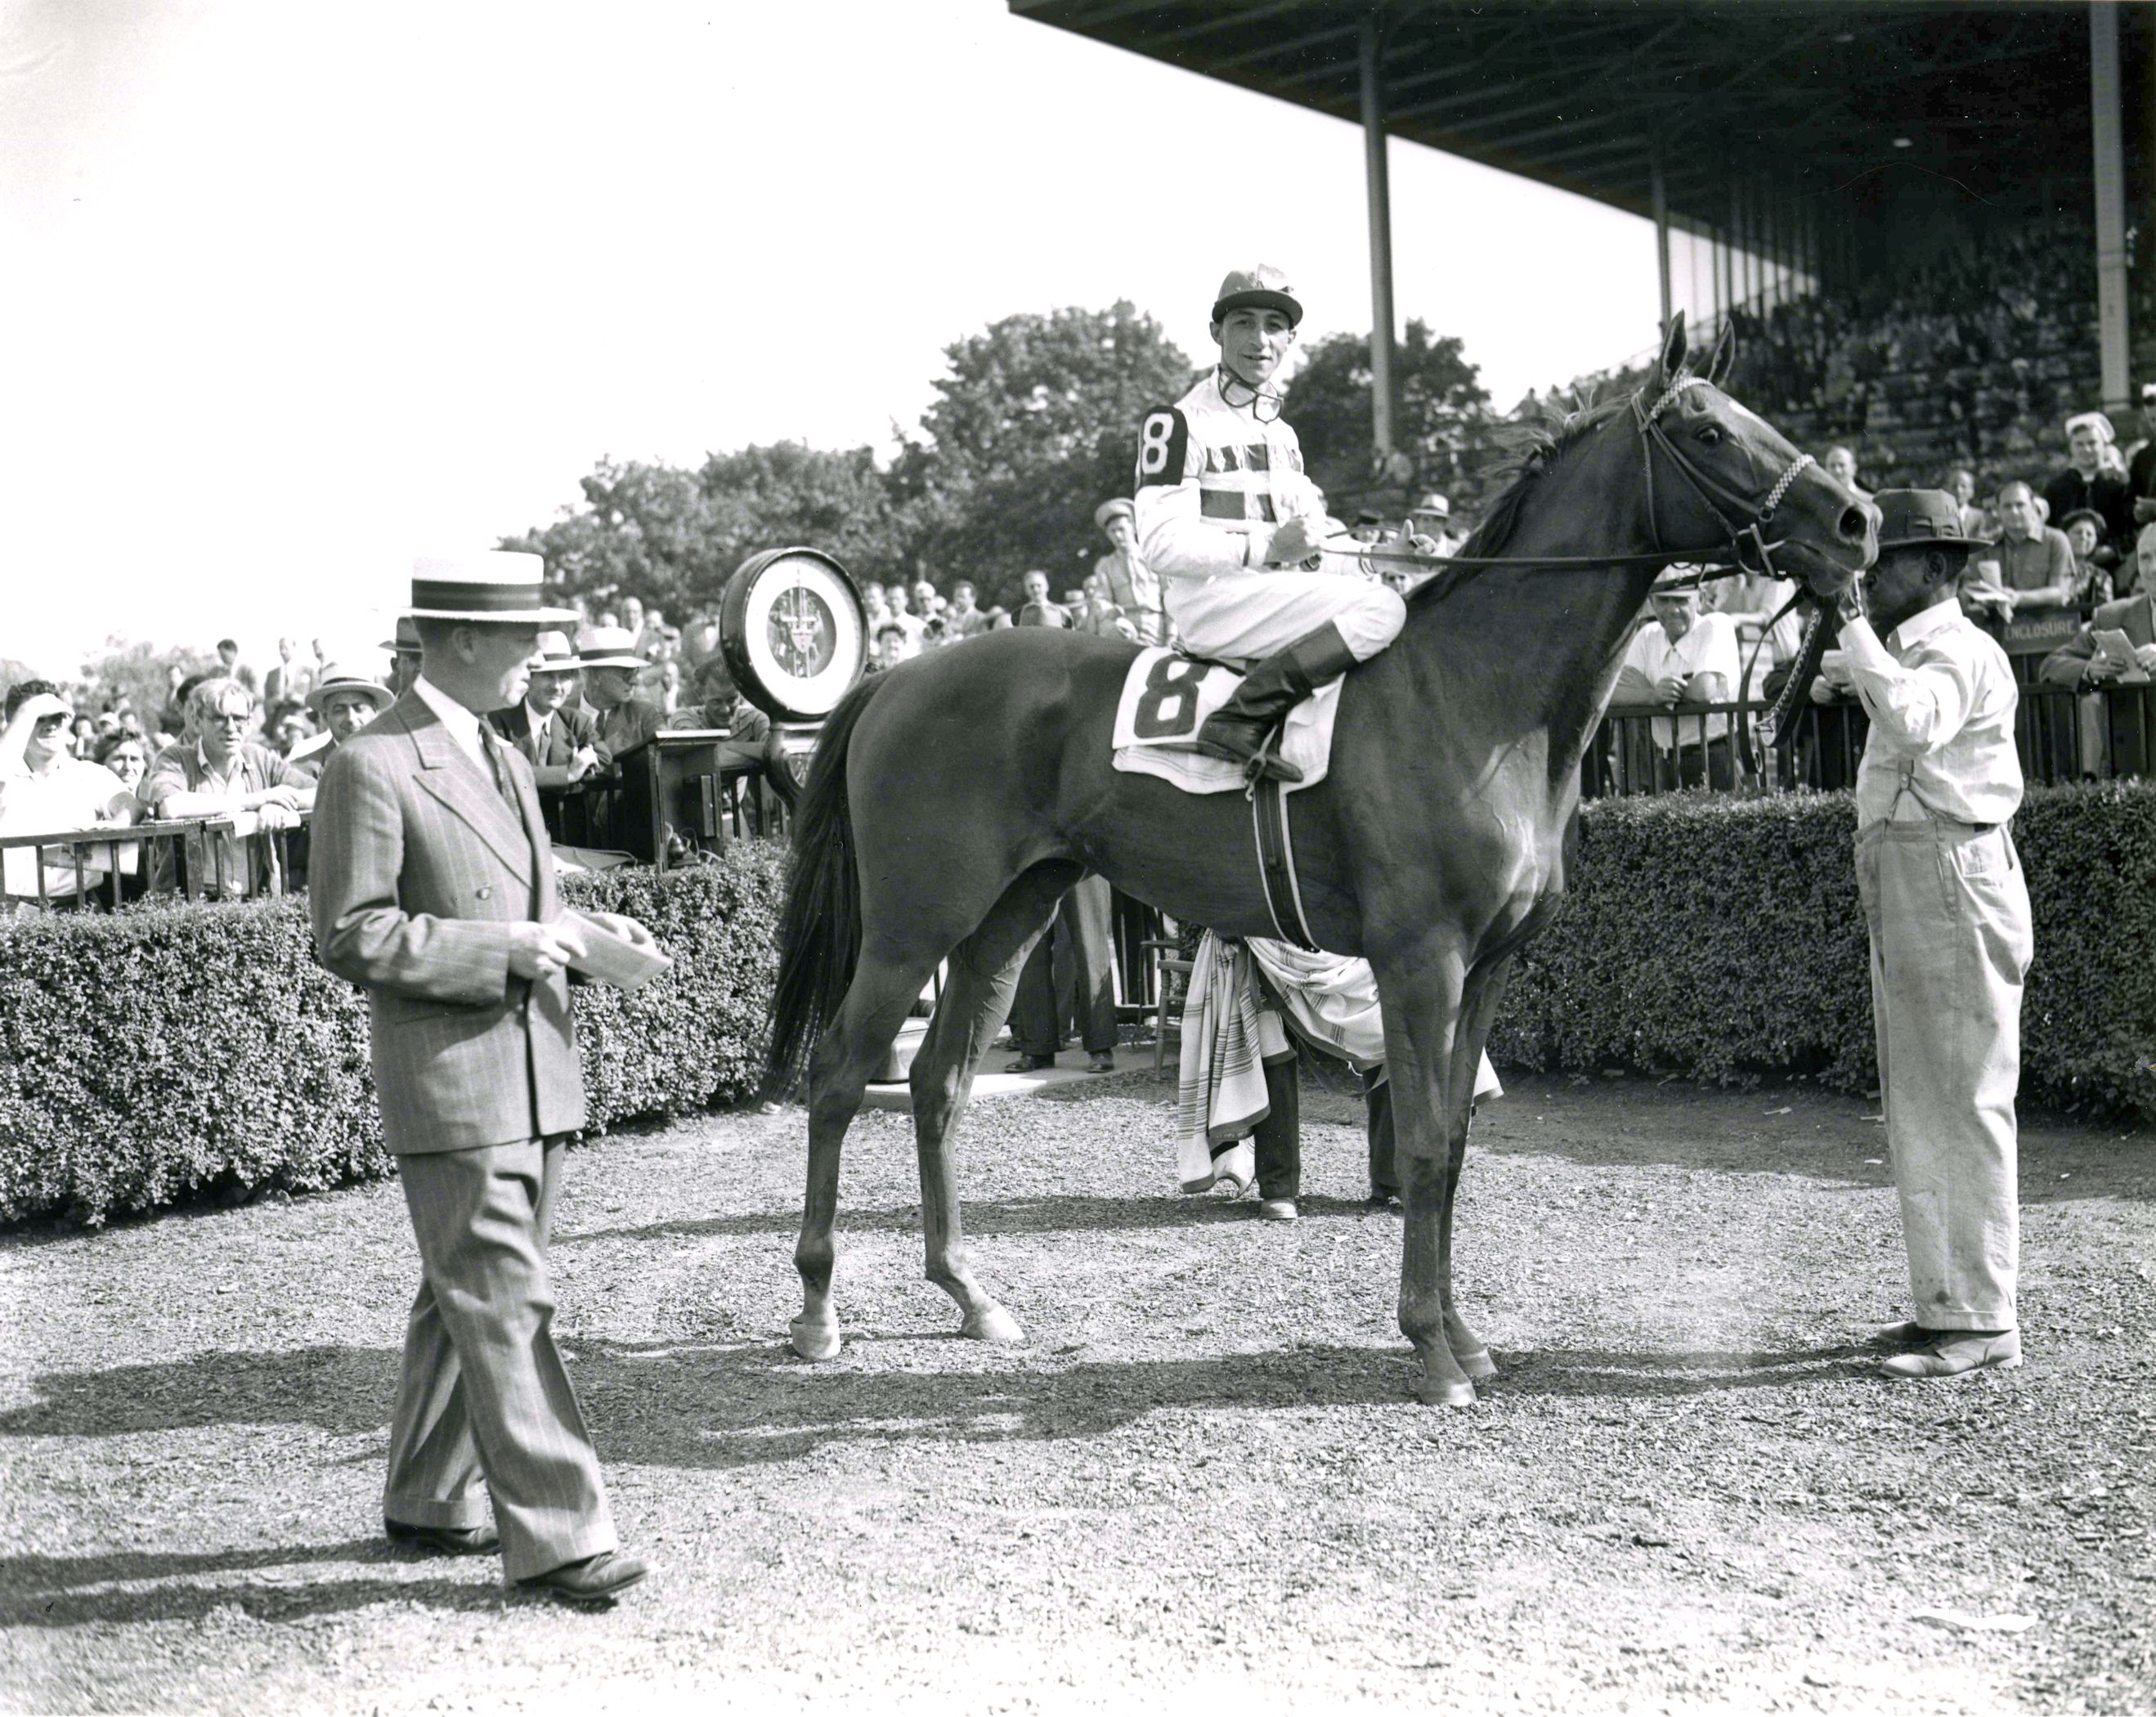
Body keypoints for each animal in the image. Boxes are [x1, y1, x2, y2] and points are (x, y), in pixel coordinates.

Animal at [772, 312, 1871, 1406]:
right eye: (1711, 433)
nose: (1859, 519)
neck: (1476, 694)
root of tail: (897, 676)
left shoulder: (1489, 967)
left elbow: (1455, 1144)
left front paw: (1465, 1336)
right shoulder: (1420, 962)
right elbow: (1422, 1146)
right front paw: (1432, 1349)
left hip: (1007, 920)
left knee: (937, 1085)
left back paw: (968, 1293)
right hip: (911, 928)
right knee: (837, 1076)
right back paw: (817, 1309)